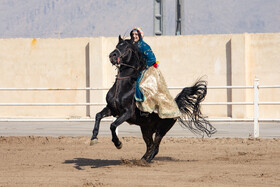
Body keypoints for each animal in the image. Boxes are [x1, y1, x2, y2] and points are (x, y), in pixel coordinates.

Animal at [90, 35, 217, 163]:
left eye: (126, 48)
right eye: (117, 46)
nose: (112, 55)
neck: (123, 87)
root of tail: (177, 106)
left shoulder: (127, 113)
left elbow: (113, 125)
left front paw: (118, 143)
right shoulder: (111, 109)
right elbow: (98, 116)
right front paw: (93, 138)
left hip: (161, 130)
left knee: (155, 148)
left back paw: (146, 161)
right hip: (146, 129)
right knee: (149, 146)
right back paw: (141, 160)